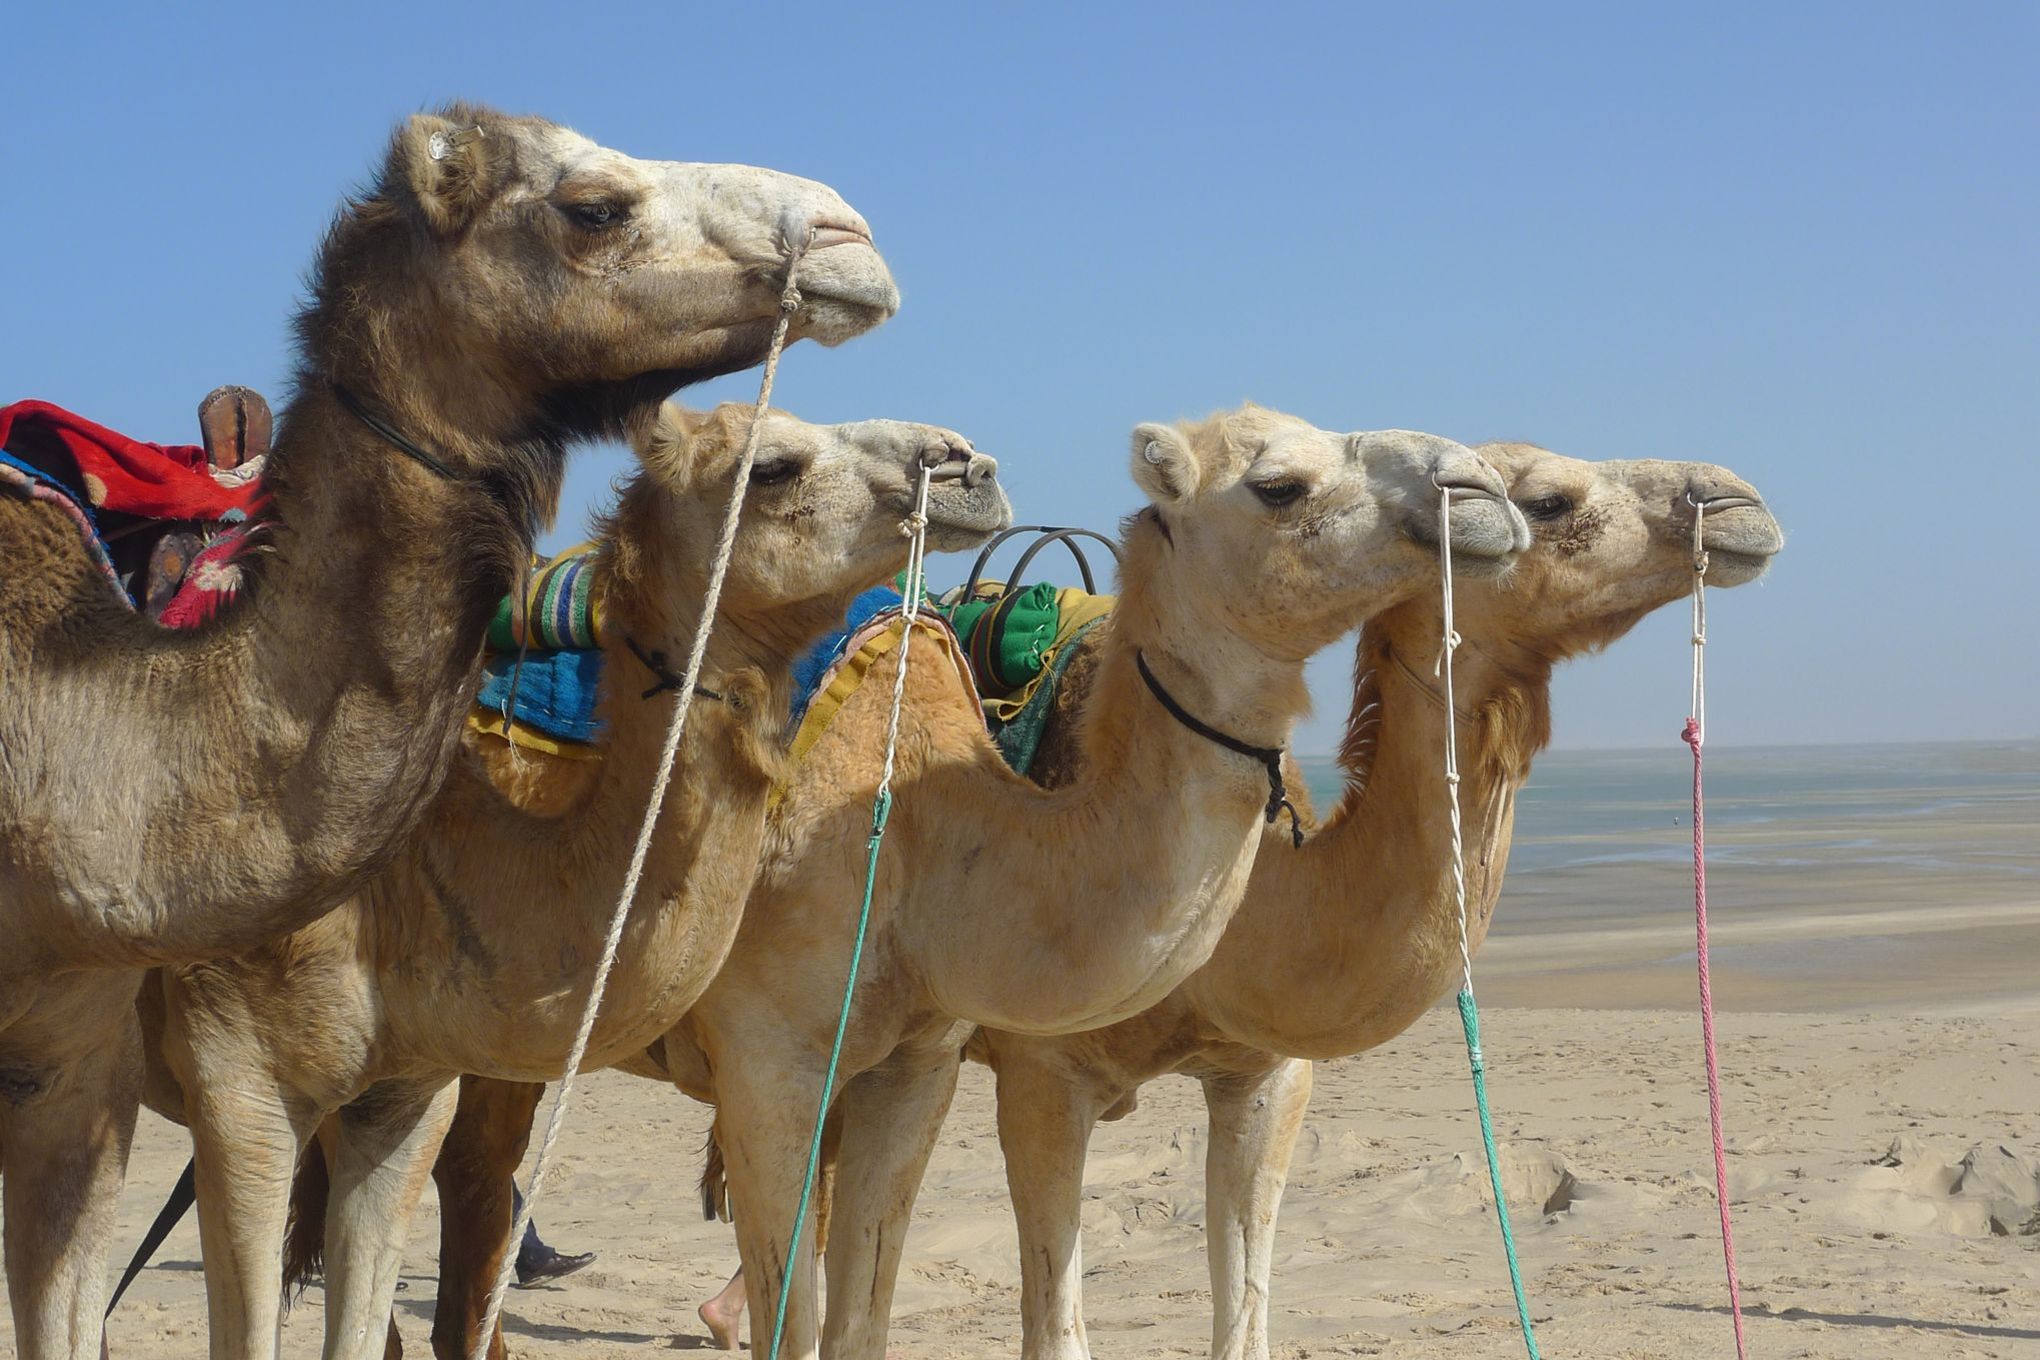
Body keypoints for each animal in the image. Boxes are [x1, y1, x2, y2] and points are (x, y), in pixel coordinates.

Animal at [971, 444, 1787, 1360]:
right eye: (1547, 500)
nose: (1736, 500)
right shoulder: (1040, 1072)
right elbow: (1056, 1327)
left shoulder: (1269, 1071)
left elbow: (1246, 1317)